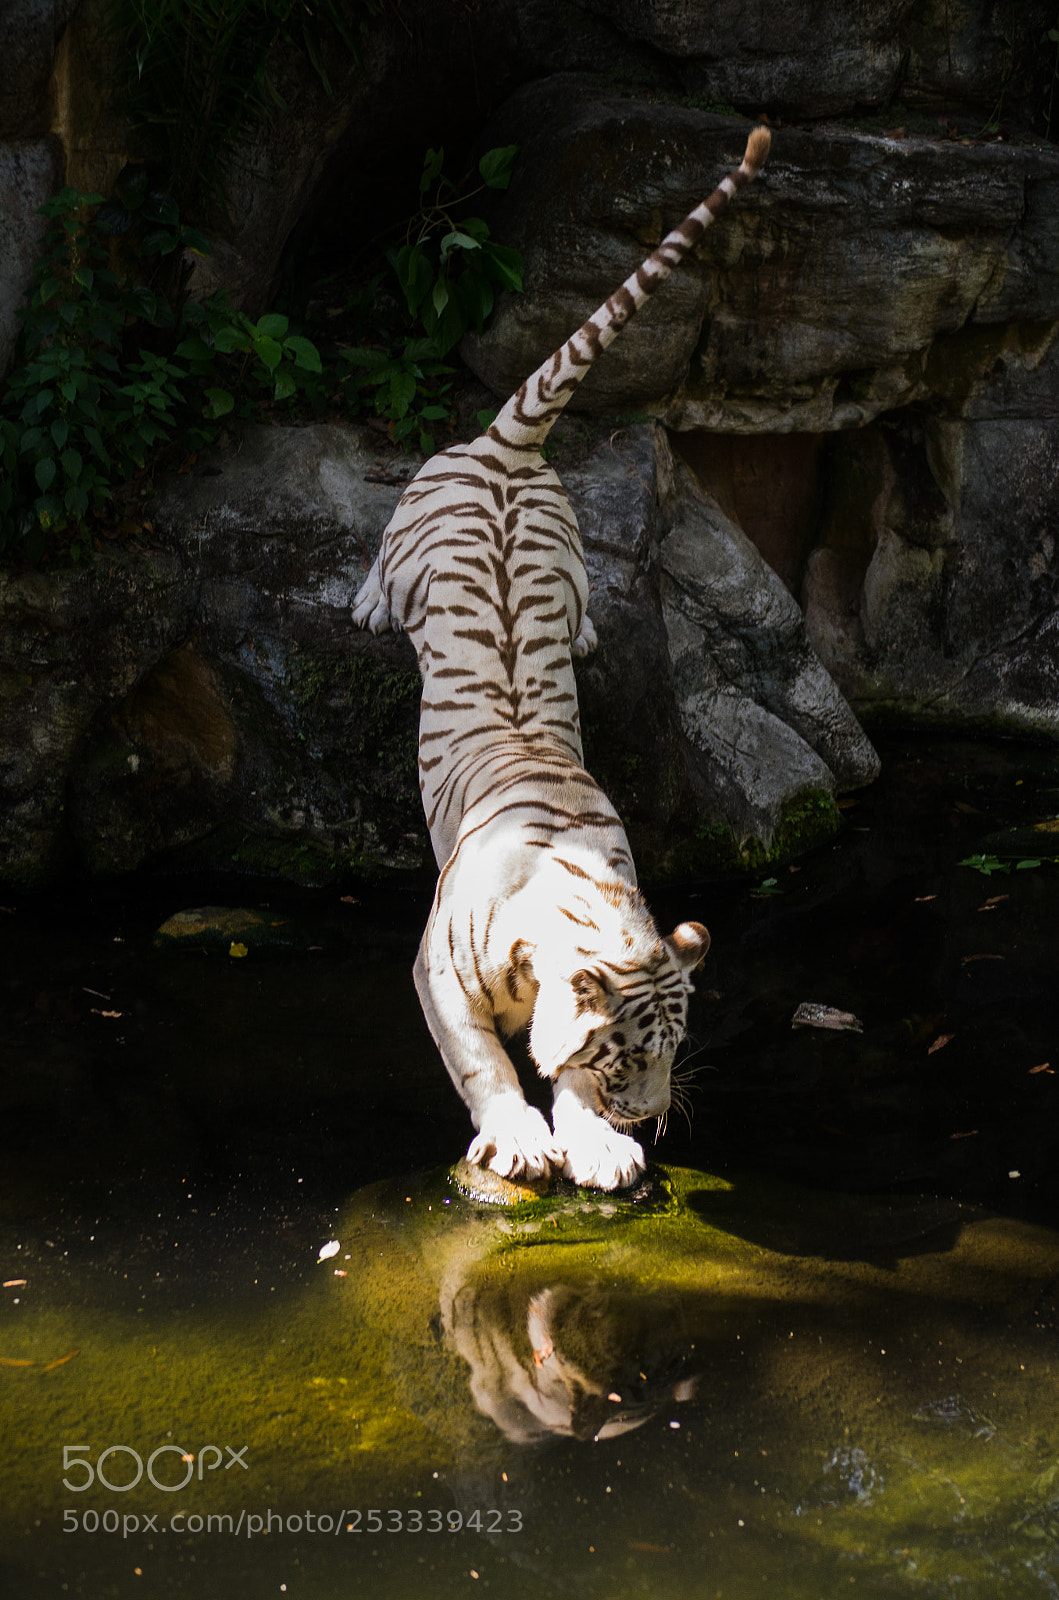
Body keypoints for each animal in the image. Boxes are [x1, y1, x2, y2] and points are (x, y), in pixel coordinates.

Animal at [353, 124, 771, 1190]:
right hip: (408, 529)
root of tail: (503, 450)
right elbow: (482, 1061)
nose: (656, 1113)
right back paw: (367, 602)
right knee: (381, 562)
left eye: (670, 1051)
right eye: (628, 1054)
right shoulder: (434, 975)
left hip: (573, 546)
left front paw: (596, 1143)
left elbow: (556, 1071)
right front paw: (516, 1134)